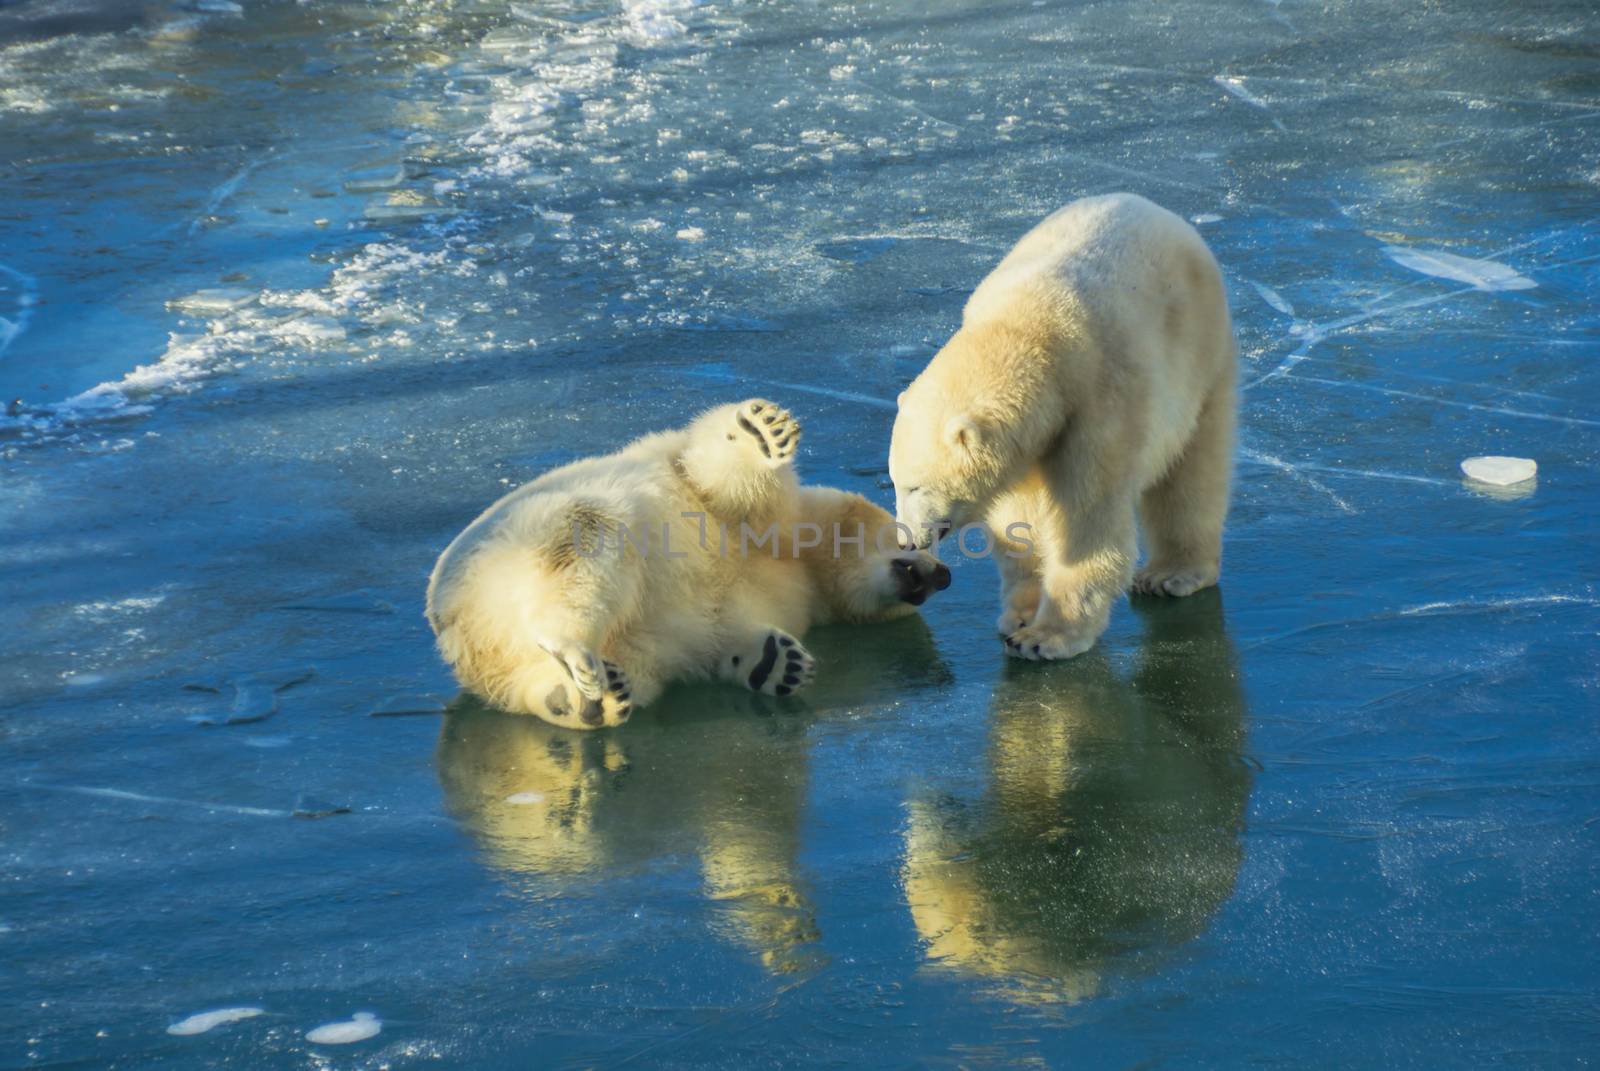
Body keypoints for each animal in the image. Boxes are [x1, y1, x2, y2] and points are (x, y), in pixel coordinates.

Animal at [428, 397, 947, 730]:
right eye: (908, 537)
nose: (942, 576)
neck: (797, 558)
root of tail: (455, 621)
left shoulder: (768, 597)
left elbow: (716, 636)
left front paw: (775, 664)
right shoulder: (724, 502)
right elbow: (716, 475)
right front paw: (762, 432)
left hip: (498, 655)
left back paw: (581, 699)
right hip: (526, 537)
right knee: (586, 545)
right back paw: (575, 651)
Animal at [889, 192, 1235, 659]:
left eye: (915, 487)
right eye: (894, 482)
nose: (906, 541)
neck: (1033, 330)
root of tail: (1156, 208)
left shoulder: (1100, 407)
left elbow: (1087, 524)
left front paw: (1045, 638)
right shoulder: (1026, 448)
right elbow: (1019, 525)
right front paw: (1019, 614)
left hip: (1201, 357)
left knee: (1193, 471)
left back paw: (1172, 573)